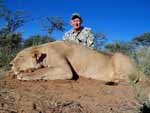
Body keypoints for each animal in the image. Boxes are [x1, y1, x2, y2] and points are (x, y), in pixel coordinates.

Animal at [9, 40, 138, 83]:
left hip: (119, 56)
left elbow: (42, 71)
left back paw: (111, 79)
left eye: (20, 56)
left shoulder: (65, 69)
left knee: (129, 79)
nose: (10, 64)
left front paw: (24, 74)